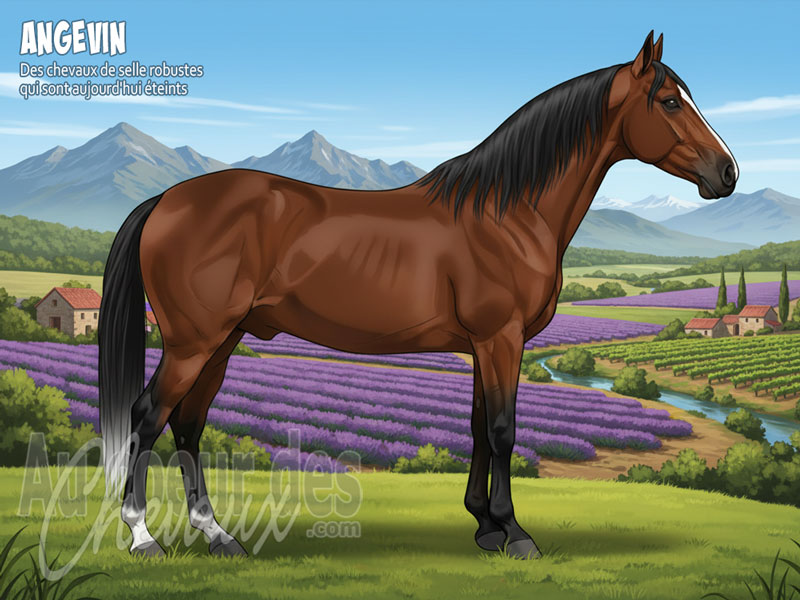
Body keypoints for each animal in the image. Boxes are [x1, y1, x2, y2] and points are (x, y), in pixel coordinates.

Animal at [99, 31, 737, 559]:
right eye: (670, 101)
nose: (727, 173)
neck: (507, 211)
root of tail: (166, 200)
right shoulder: (501, 338)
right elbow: (504, 430)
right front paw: (516, 534)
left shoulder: (484, 344)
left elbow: (479, 427)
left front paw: (485, 528)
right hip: (193, 342)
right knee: (148, 417)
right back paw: (143, 537)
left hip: (223, 340)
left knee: (189, 425)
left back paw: (217, 535)